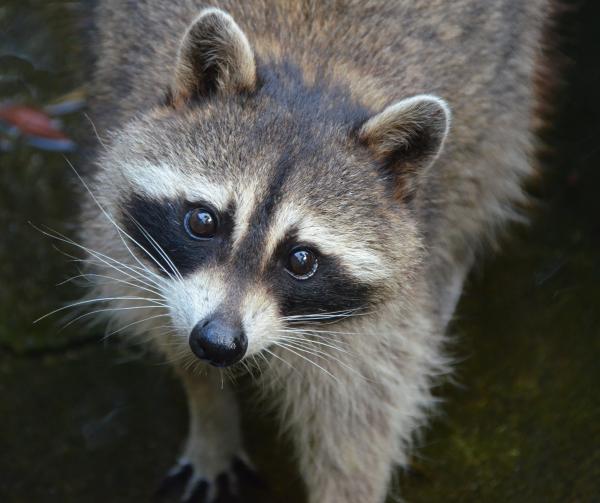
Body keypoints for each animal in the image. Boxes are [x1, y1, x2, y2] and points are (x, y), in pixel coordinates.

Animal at [79, 1, 552, 502]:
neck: (314, 70)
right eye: (203, 222)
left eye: (301, 259)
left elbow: (359, 418)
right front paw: (210, 412)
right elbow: (166, 328)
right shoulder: (133, 248)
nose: (218, 343)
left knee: (492, 165)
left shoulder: (381, 324)